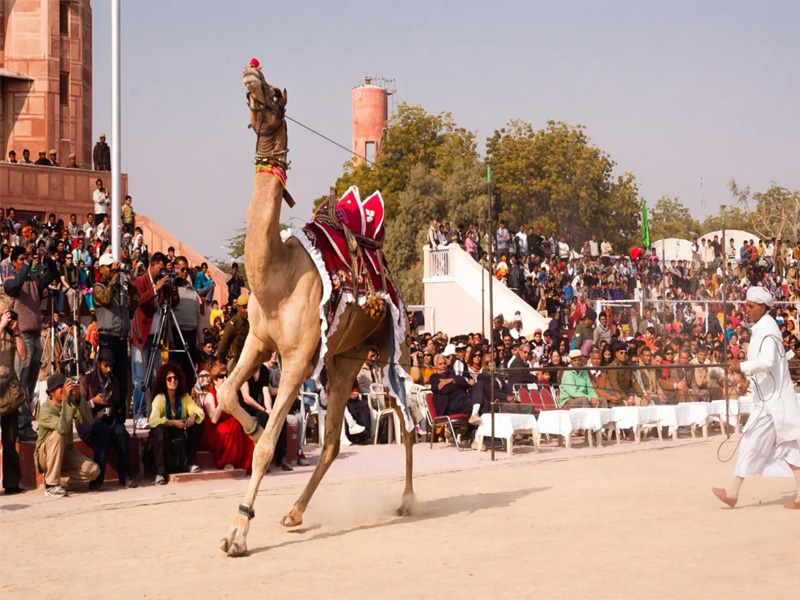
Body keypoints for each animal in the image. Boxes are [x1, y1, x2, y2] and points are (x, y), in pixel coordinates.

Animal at [219, 61, 418, 556]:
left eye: (275, 94)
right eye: (254, 92)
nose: (252, 73)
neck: (275, 276)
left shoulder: (296, 357)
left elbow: (266, 446)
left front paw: (238, 532)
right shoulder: (258, 340)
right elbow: (227, 392)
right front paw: (251, 428)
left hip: (395, 348)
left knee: (406, 422)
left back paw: (407, 501)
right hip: (345, 359)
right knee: (329, 443)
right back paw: (294, 513)